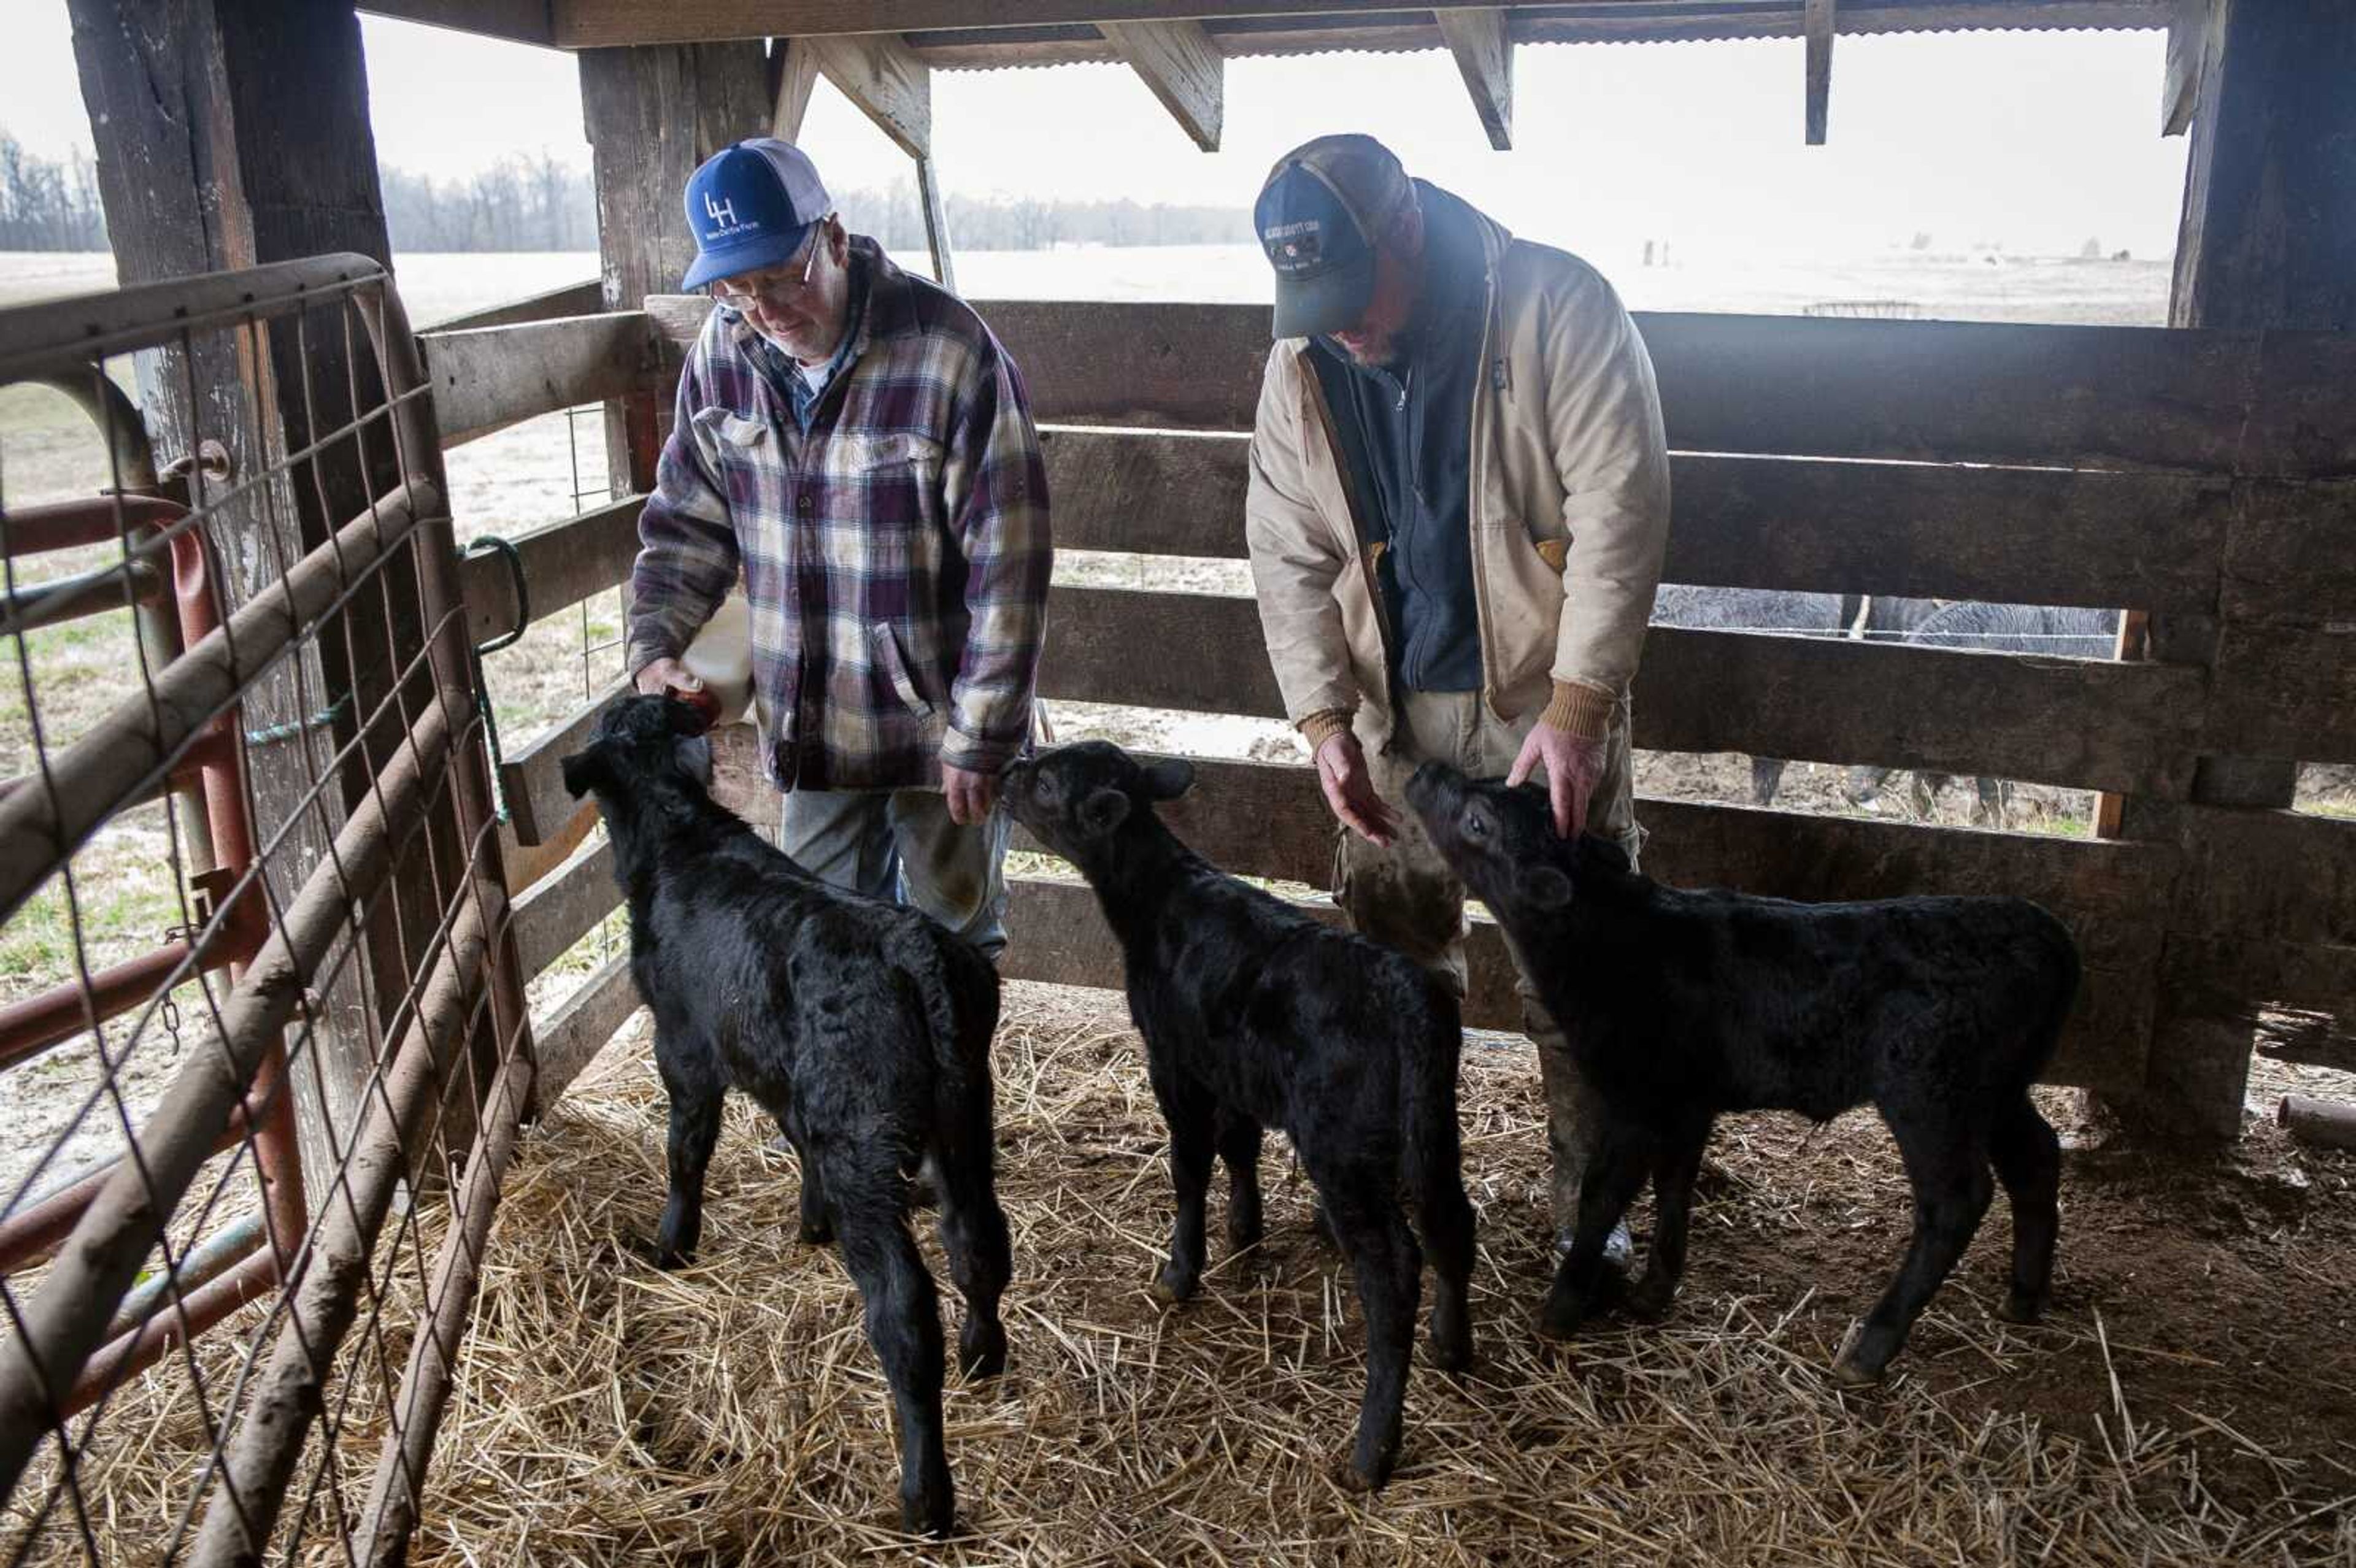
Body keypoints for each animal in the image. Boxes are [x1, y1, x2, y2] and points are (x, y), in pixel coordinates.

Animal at [570, 697, 1022, 1525]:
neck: (681, 835)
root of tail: (912, 948)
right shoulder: (784, 1078)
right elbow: (792, 1140)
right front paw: (809, 1226)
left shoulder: (682, 1044)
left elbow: (687, 1149)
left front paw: (671, 1245)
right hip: (964, 1111)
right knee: (978, 1238)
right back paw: (984, 1356)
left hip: (864, 1140)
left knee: (905, 1309)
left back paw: (925, 1497)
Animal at [1008, 739, 1479, 1488]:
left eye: (1048, 783)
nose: (1006, 772)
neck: (1160, 900)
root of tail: (1406, 995)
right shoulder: (1225, 1064)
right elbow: (1240, 1144)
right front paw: (1245, 1230)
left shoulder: (1174, 1061)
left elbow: (1190, 1165)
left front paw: (1181, 1271)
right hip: (1434, 1128)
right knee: (1452, 1224)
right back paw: (1452, 1347)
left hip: (1341, 1148)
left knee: (1393, 1271)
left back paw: (1372, 1449)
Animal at [1404, 758, 2073, 1384]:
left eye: (1479, 822)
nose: (1427, 771)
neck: (1616, 940)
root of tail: (2048, 935)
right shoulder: (1687, 1100)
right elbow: (1674, 1183)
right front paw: (1653, 1293)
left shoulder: (1639, 1096)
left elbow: (1604, 1192)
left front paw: (1563, 1306)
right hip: (1997, 1090)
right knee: (2037, 1156)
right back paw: (2024, 1296)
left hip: (1929, 1093)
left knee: (1956, 1200)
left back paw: (1871, 1347)